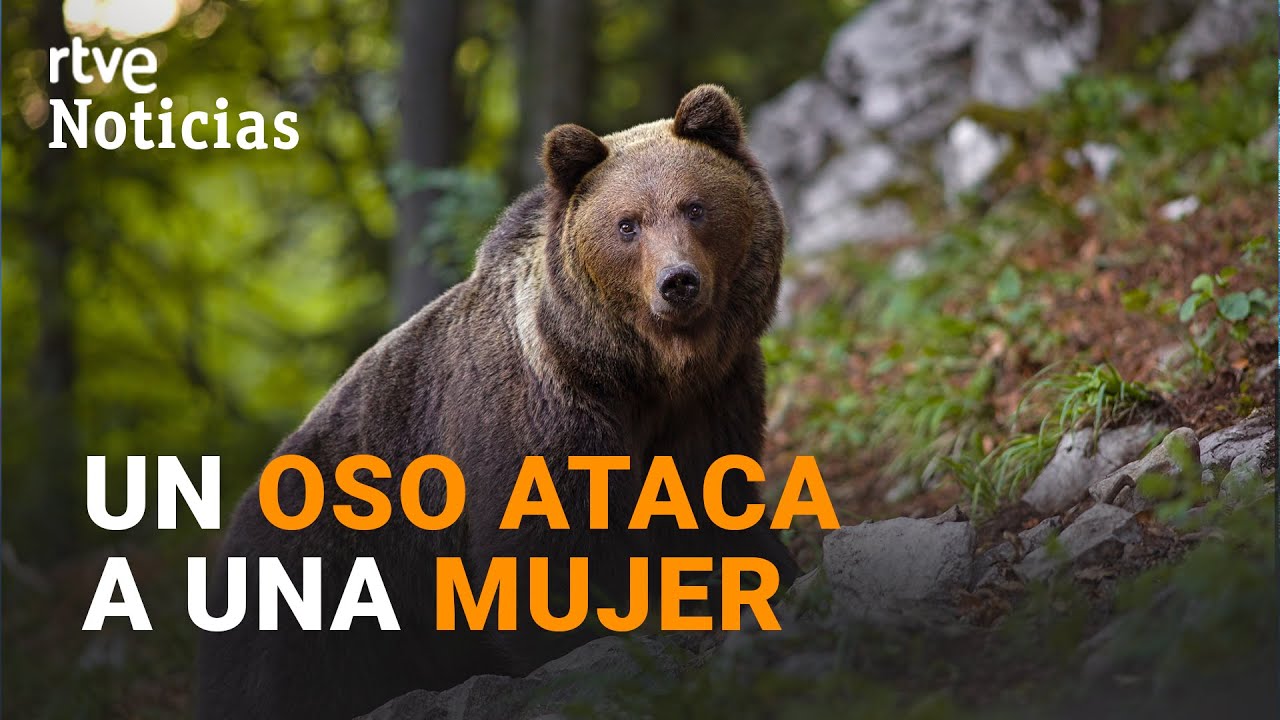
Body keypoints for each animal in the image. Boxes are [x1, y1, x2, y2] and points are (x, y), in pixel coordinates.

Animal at [197, 84, 799, 720]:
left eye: (695, 207)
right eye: (628, 224)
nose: (677, 282)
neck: (637, 374)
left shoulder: (714, 398)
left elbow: (715, 506)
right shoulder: (542, 418)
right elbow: (537, 560)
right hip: (319, 575)